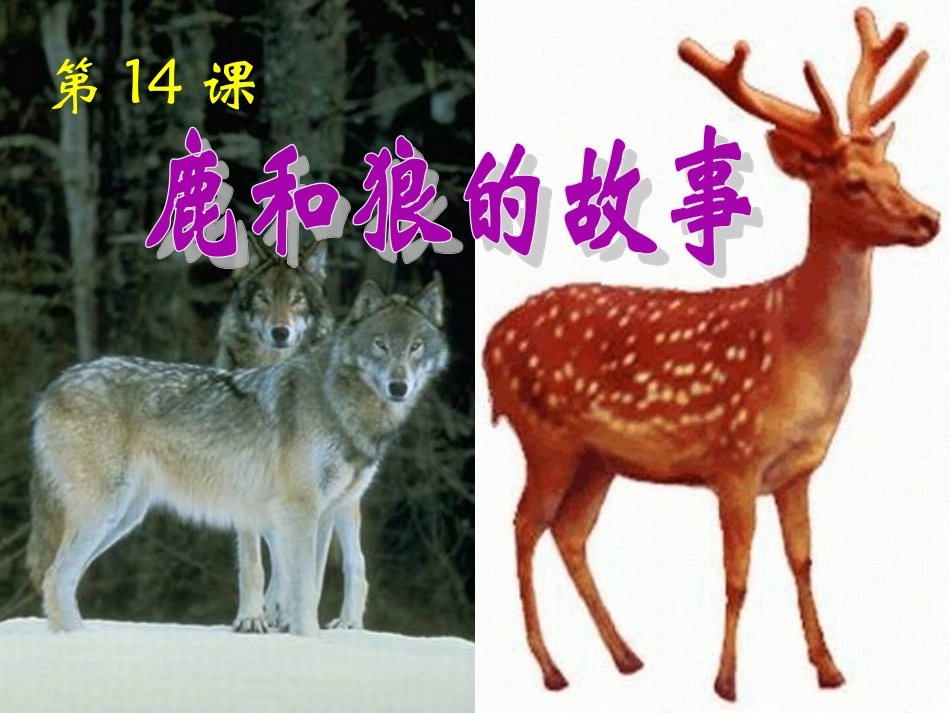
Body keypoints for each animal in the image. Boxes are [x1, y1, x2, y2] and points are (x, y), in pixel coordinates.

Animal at [482, 7, 938, 703]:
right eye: (855, 183)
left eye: (897, 172)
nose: (929, 218)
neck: (802, 351)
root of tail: (491, 339)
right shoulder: (735, 458)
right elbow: (738, 574)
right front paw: (725, 681)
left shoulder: (799, 469)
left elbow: (803, 562)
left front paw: (829, 668)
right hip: (546, 436)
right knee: (523, 527)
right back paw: (552, 669)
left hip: (597, 457)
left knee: (570, 532)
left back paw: (626, 657)